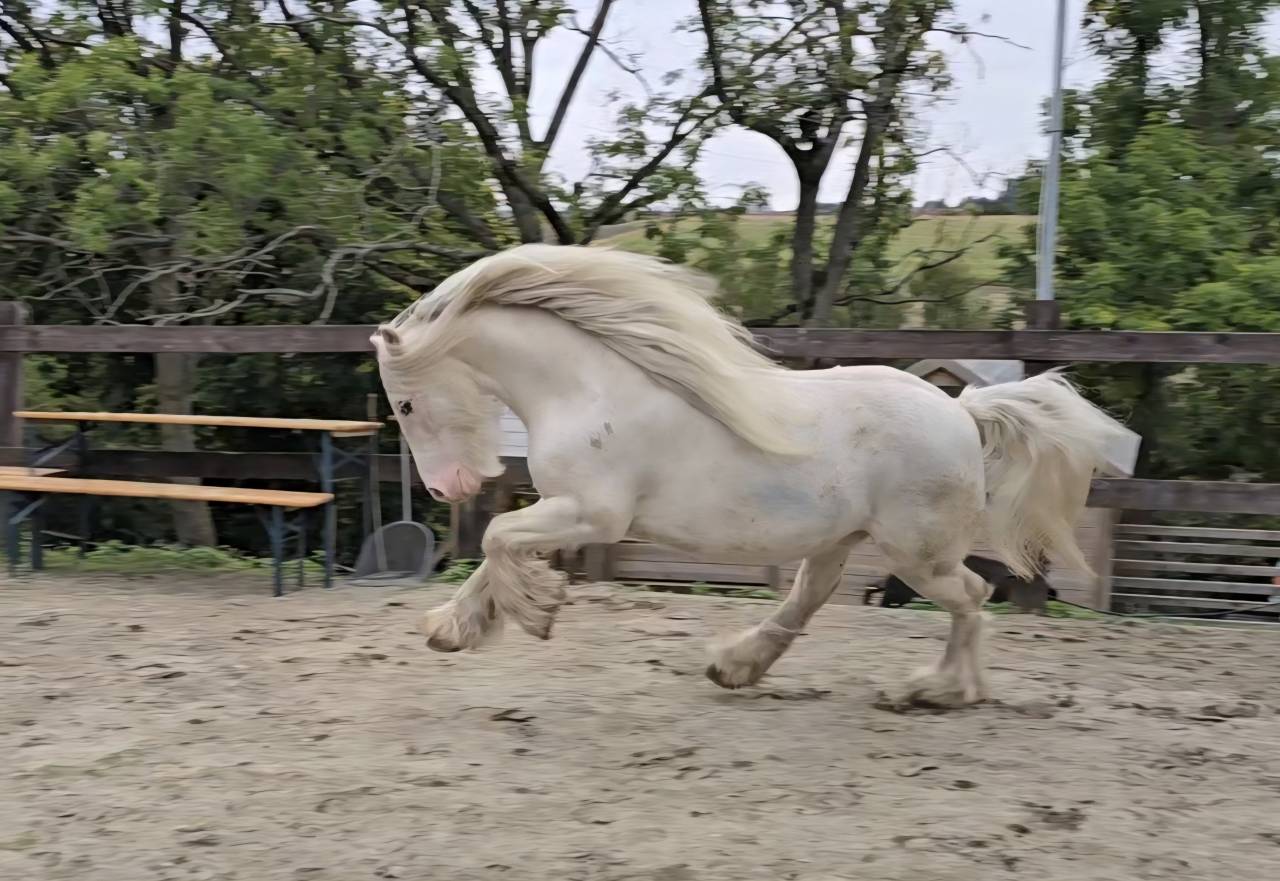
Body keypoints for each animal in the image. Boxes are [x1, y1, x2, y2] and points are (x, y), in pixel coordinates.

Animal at [371, 244, 1119, 707]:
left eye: (404, 405)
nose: (444, 490)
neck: (586, 387)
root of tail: (963, 409)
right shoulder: (563, 507)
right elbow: (493, 551)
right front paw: (453, 628)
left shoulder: (592, 513)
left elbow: (496, 536)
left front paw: (535, 612)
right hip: (841, 540)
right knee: (810, 598)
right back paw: (737, 666)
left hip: (917, 554)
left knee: (968, 596)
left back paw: (934, 691)